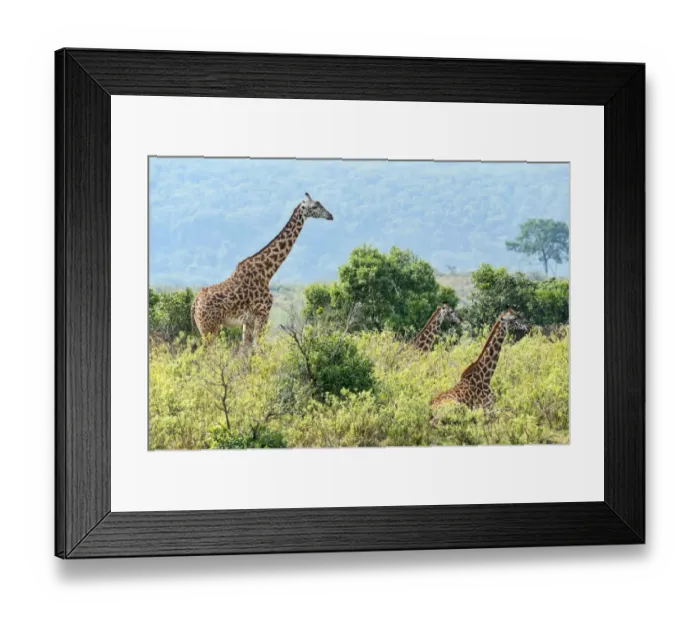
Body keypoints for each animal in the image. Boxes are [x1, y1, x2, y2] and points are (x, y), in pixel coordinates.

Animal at [191, 193, 333, 348]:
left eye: (321, 204)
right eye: (314, 206)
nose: (330, 215)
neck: (267, 272)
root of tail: (194, 304)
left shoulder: (248, 321)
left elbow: (246, 349)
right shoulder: (262, 314)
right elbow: (259, 348)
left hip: (204, 328)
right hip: (210, 327)